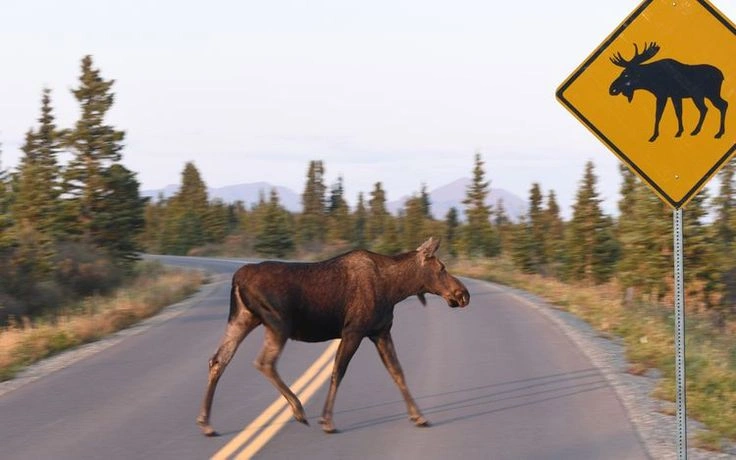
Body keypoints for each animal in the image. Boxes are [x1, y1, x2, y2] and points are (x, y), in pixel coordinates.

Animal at [197, 237, 470, 436]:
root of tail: (237, 278)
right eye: (442, 268)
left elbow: (397, 372)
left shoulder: (380, 331)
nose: (463, 294)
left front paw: (419, 416)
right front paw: (327, 420)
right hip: (278, 323)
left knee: (218, 360)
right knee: (264, 362)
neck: (396, 289)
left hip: (243, 318)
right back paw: (298, 410)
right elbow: (338, 372)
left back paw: (206, 422)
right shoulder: (353, 331)